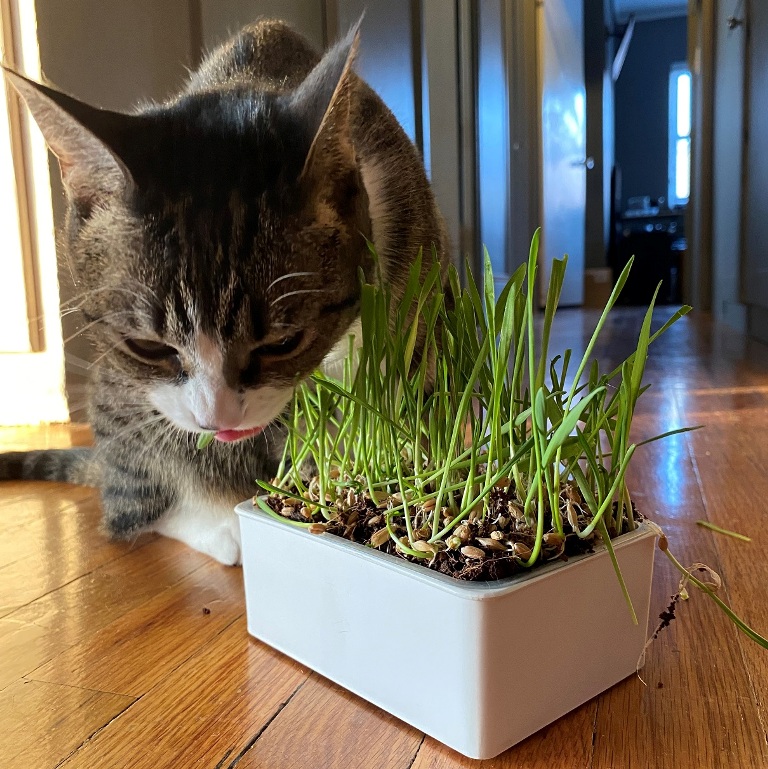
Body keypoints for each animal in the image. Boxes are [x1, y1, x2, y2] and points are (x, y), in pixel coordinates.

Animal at [0, 18, 448, 565]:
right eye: (146, 346)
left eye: (283, 343)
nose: (218, 421)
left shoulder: (420, 305)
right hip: (123, 417)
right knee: (132, 508)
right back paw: (223, 530)